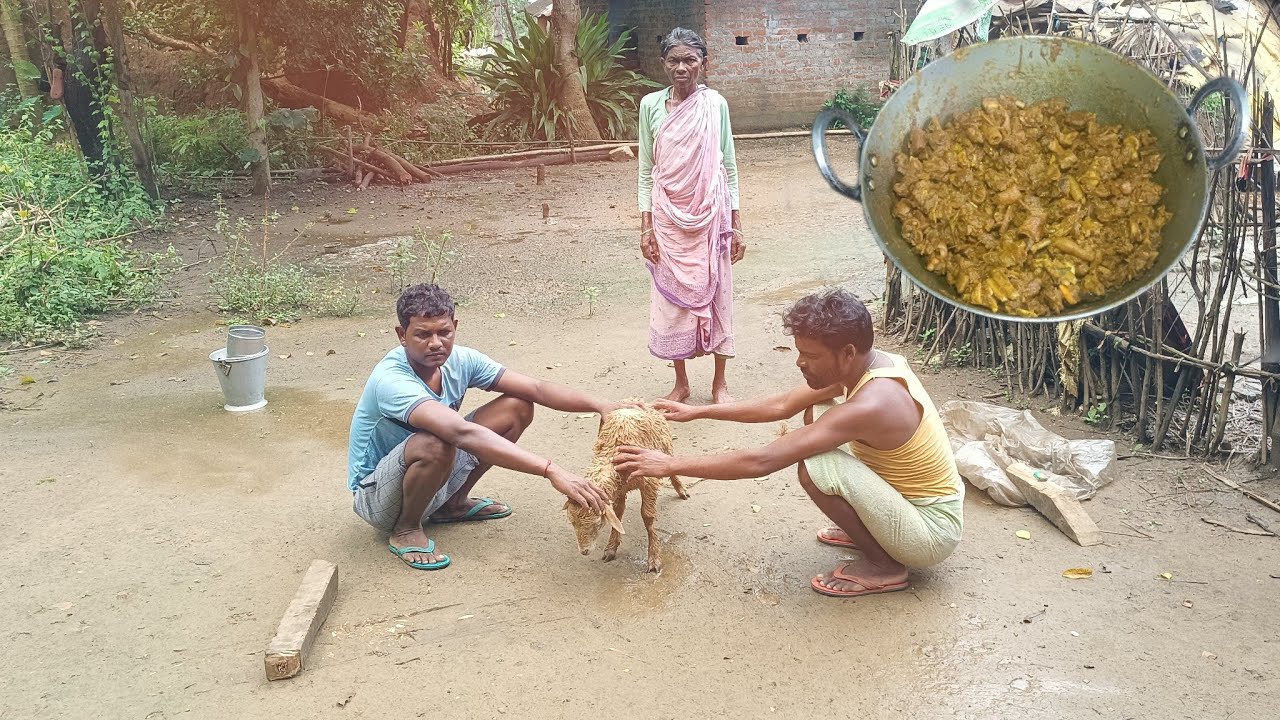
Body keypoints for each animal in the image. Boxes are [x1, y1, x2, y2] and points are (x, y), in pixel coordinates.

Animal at [564, 401, 689, 572]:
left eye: (598, 523)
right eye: (572, 522)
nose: (584, 551)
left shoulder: (648, 482)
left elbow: (648, 517)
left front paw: (654, 557)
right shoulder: (618, 489)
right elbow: (618, 513)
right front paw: (611, 548)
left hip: (665, 446)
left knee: (670, 464)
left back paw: (681, 489)